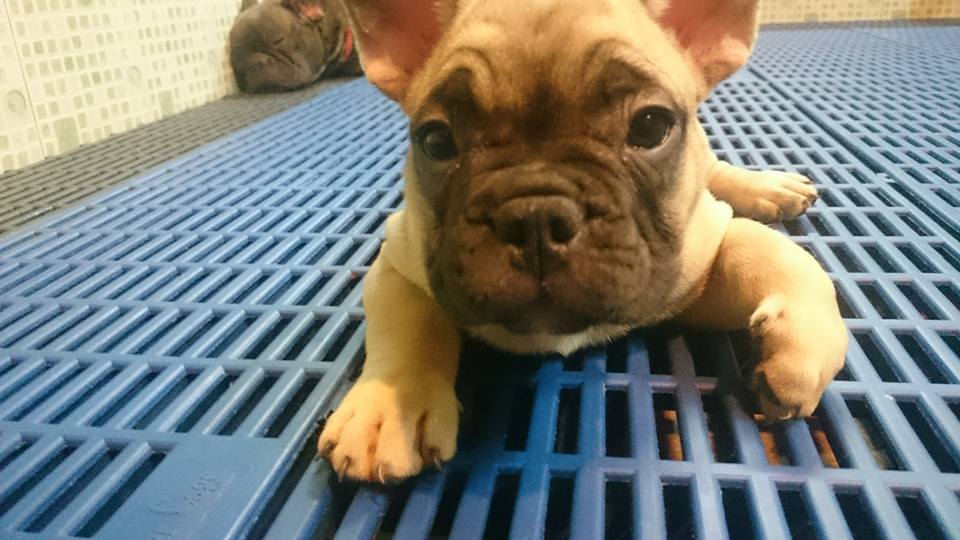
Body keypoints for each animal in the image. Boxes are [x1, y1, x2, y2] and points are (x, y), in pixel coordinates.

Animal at [318, 0, 849, 483]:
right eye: (435, 141)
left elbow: (775, 254)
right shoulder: (401, 257)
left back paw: (767, 187)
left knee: (715, 168)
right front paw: (392, 405)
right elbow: (409, 323)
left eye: (651, 126)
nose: (535, 215)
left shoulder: (690, 266)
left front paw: (802, 349)